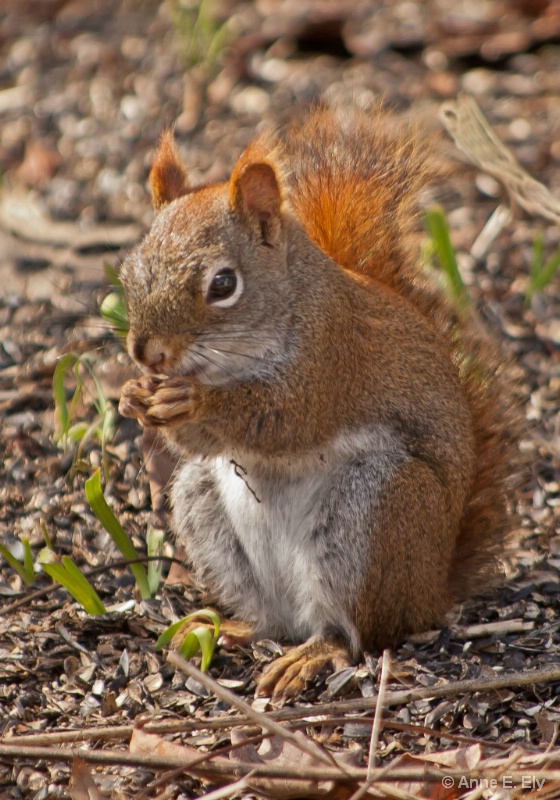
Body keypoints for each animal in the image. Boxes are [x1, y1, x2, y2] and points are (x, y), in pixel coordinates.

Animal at [120, 108, 520, 700]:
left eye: (223, 284)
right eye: (129, 270)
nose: (146, 352)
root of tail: (431, 592)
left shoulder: (330, 361)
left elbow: (283, 420)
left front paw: (193, 401)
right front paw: (135, 395)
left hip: (377, 509)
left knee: (356, 633)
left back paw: (314, 653)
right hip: (203, 505)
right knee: (271, 621)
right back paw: (234, 627)